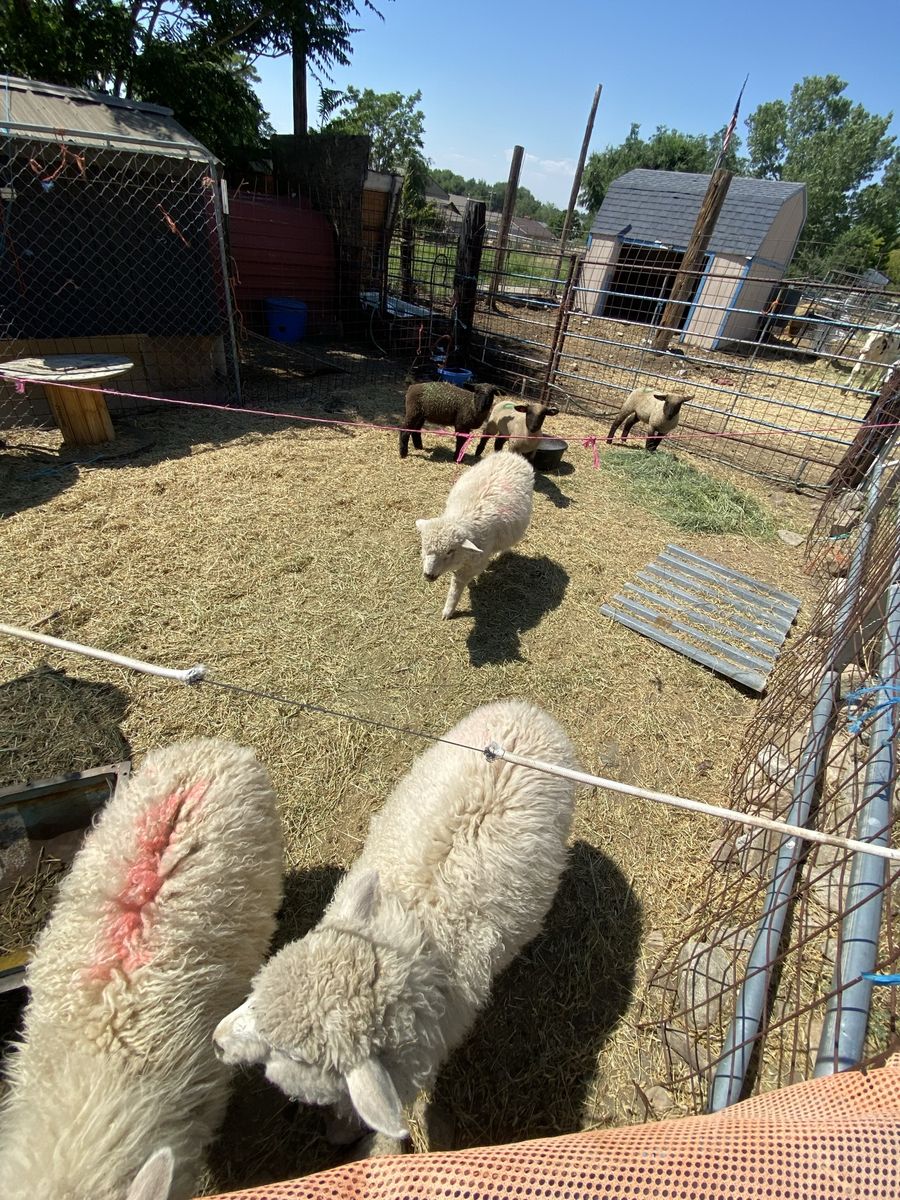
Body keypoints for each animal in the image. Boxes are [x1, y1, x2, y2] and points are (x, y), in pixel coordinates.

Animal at [214, 698, 579, 1152]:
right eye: (255, 993)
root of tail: (527, 712)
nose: (217, 1041)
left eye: (293, 1055)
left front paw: (343, 1130)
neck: (410, 937)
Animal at [414, 450, 534, 619]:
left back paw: (502, 553)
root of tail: (513, 455)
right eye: (424, 547)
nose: (428, 575)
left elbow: (456, 587)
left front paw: (448, 610)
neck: (462, 518)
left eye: (450, 551)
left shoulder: (472, 566)